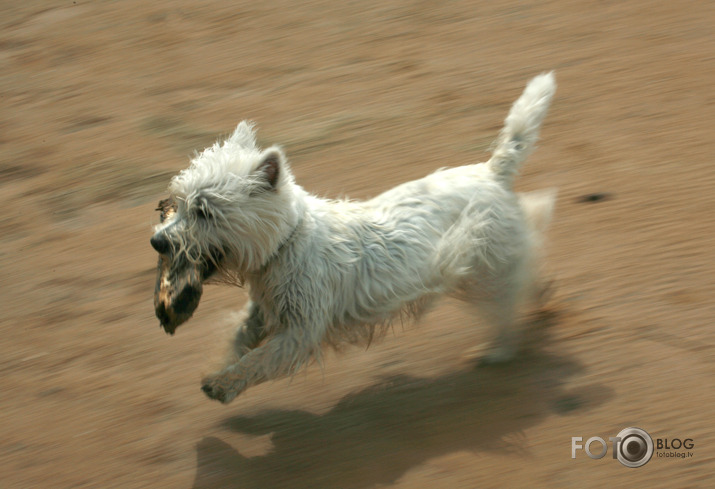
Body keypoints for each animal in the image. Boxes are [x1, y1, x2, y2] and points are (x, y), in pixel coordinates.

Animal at [151, 71, 560, 400]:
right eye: (178, 204)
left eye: (205, 211)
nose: (157, 242)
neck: (286, 245)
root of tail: (493, 172)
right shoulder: (264, 313)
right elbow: (239, 336)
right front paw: (217, 367)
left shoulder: (301, 330)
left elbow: (259, 359)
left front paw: (223, 384)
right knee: (525, 270)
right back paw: (541, 299)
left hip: (480, 268)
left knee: (507, 299)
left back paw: (496, 350)